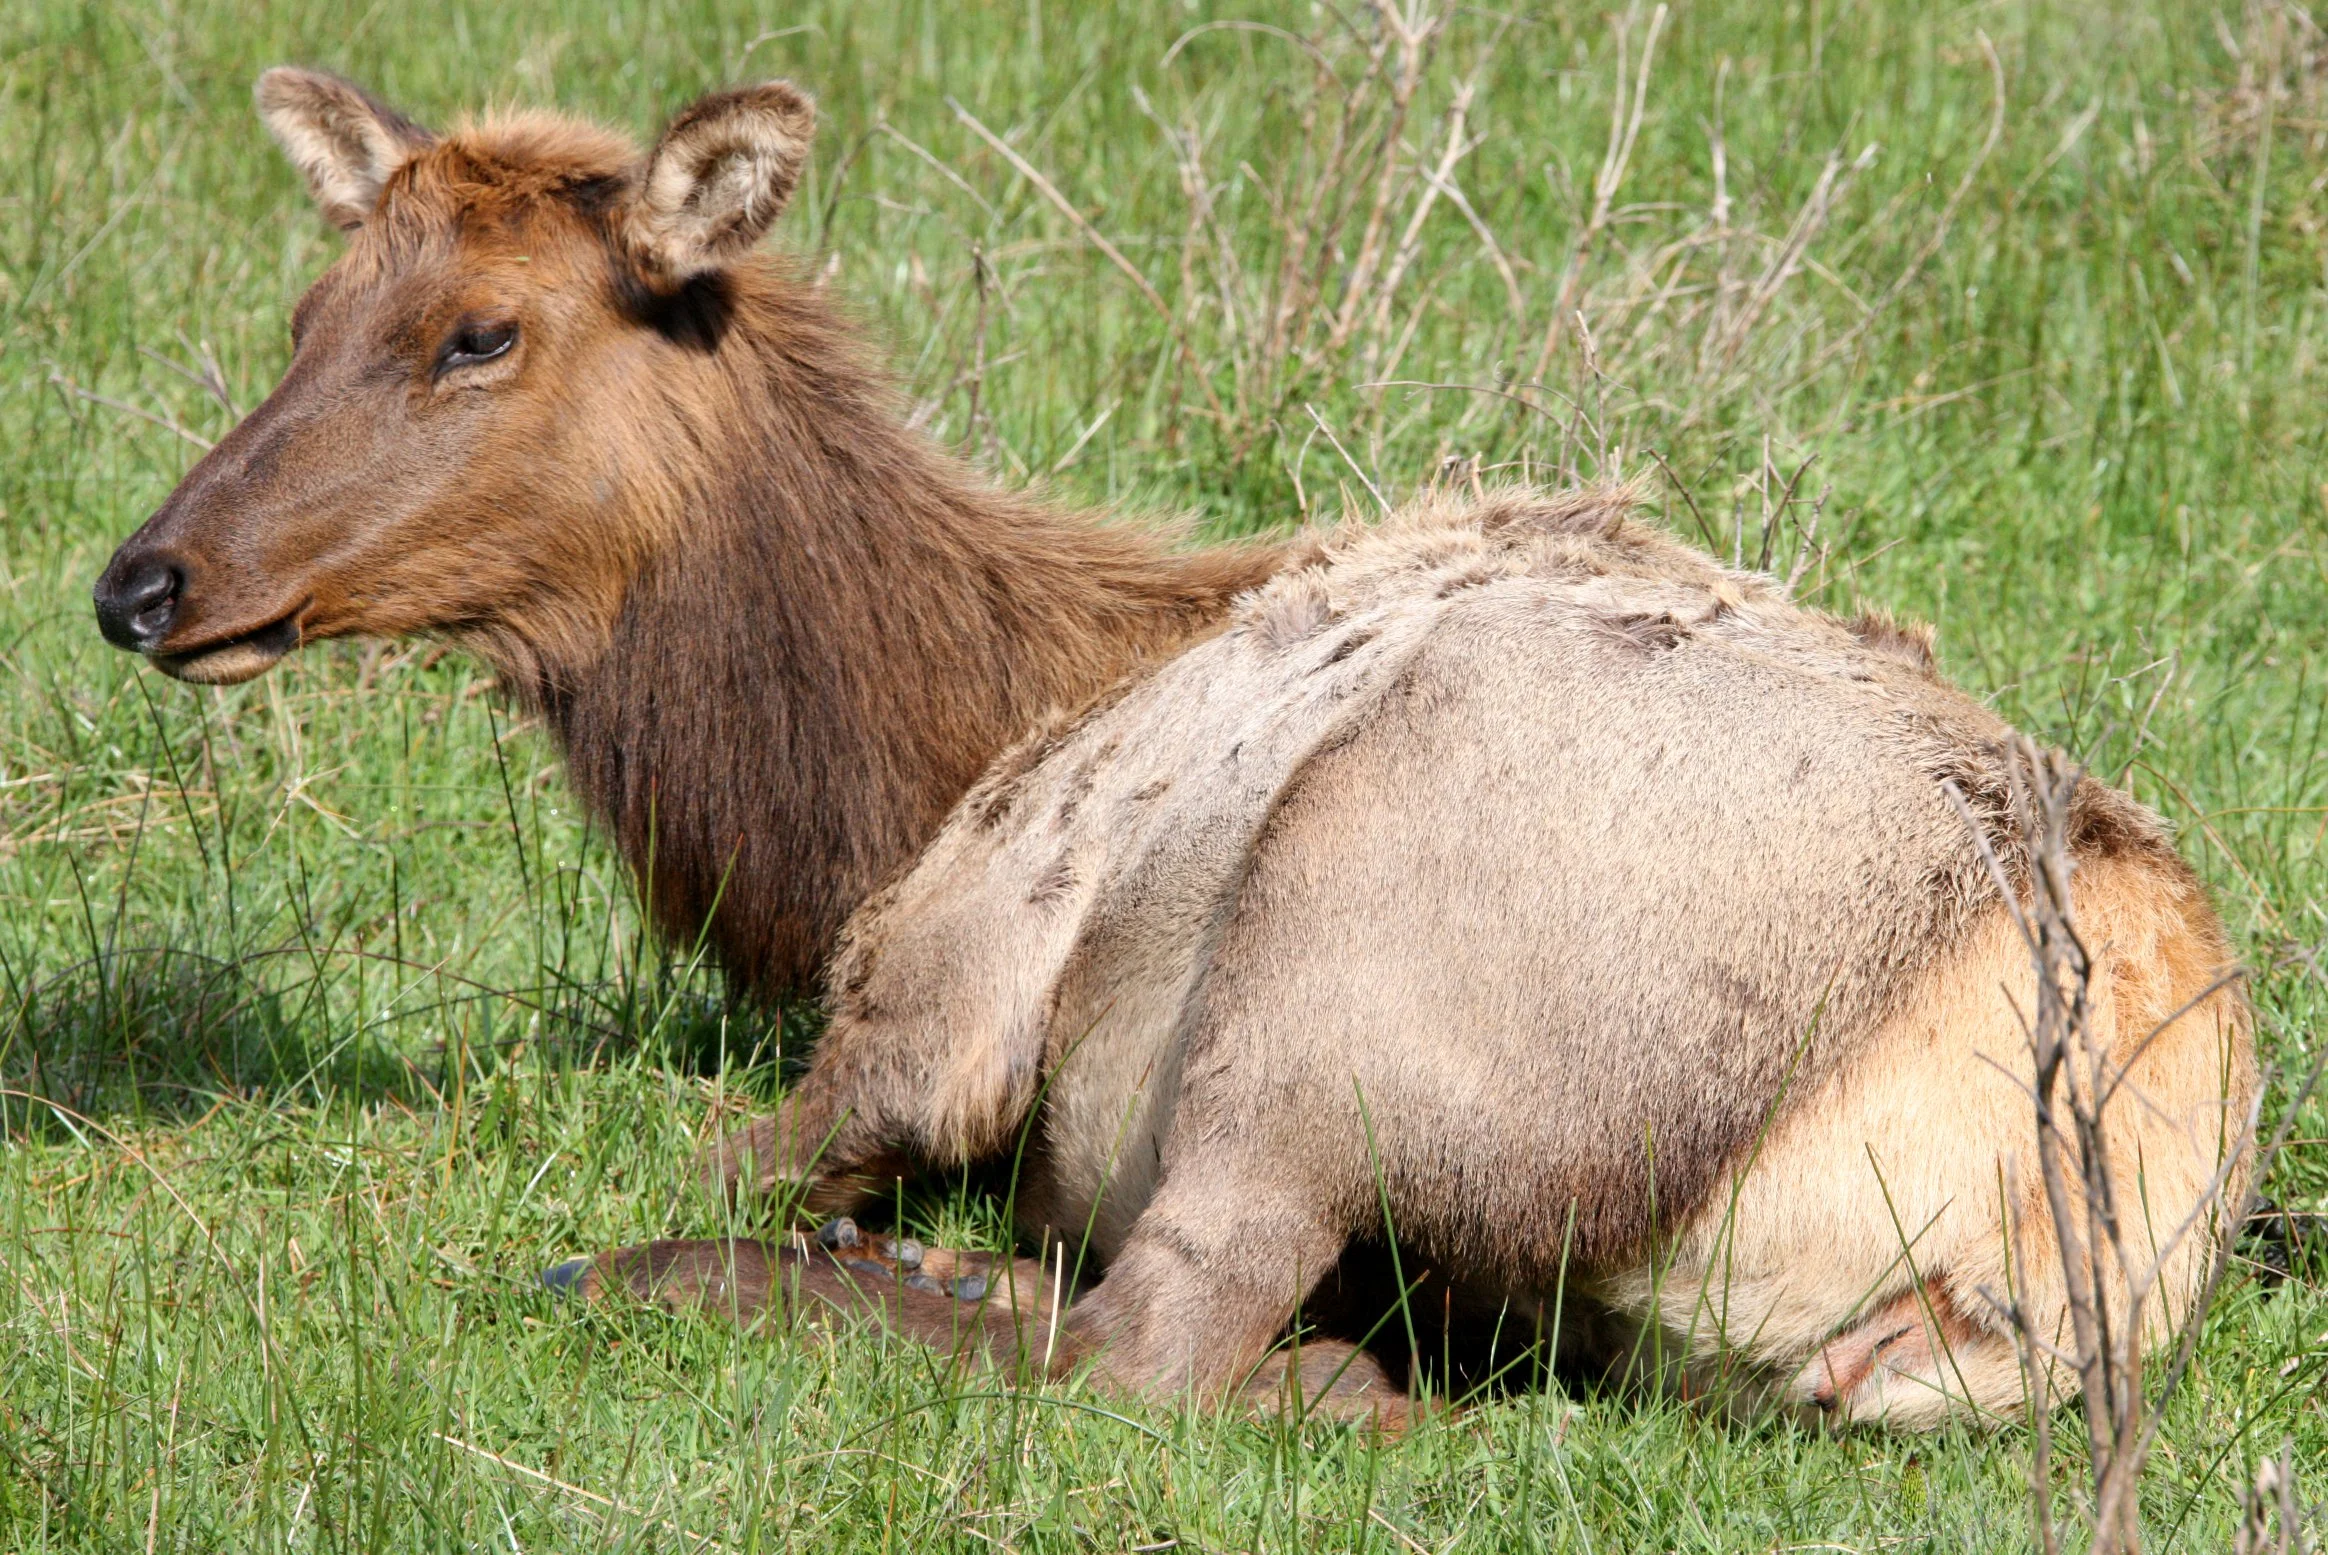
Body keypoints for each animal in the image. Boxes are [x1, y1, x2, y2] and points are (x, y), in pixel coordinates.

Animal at [93, 71, 2258, 1431]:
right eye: (306, 307)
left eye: (480, 331)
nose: (139, 580)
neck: (874, 797)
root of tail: (2066, 1173)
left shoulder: (934, 991)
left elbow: (756, 1140)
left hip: (1335, 966)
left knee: (1166, 1354)